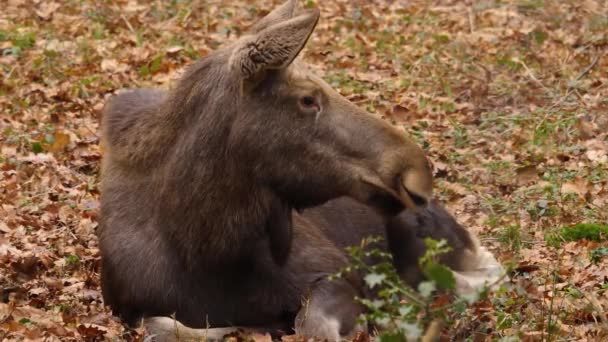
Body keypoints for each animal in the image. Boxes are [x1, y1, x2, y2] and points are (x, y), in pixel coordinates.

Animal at [96, 1, 498, 340]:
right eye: (307, 99)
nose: (416, 172)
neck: (202, 245)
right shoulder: (131, 308)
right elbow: (170, 326)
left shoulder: (333, 271)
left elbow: (313, 326)